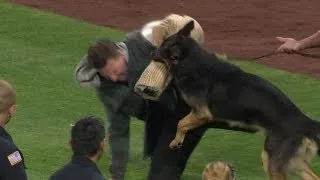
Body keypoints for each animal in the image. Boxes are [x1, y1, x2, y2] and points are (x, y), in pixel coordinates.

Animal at [152, 20, 320, 179]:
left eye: (161, 49)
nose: (152, 52)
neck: (193, 61)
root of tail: (304, 121)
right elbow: (182, 122)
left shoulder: (202, 113)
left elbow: (181, 123)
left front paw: (176, 141)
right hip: (294, 163)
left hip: (271, 160)